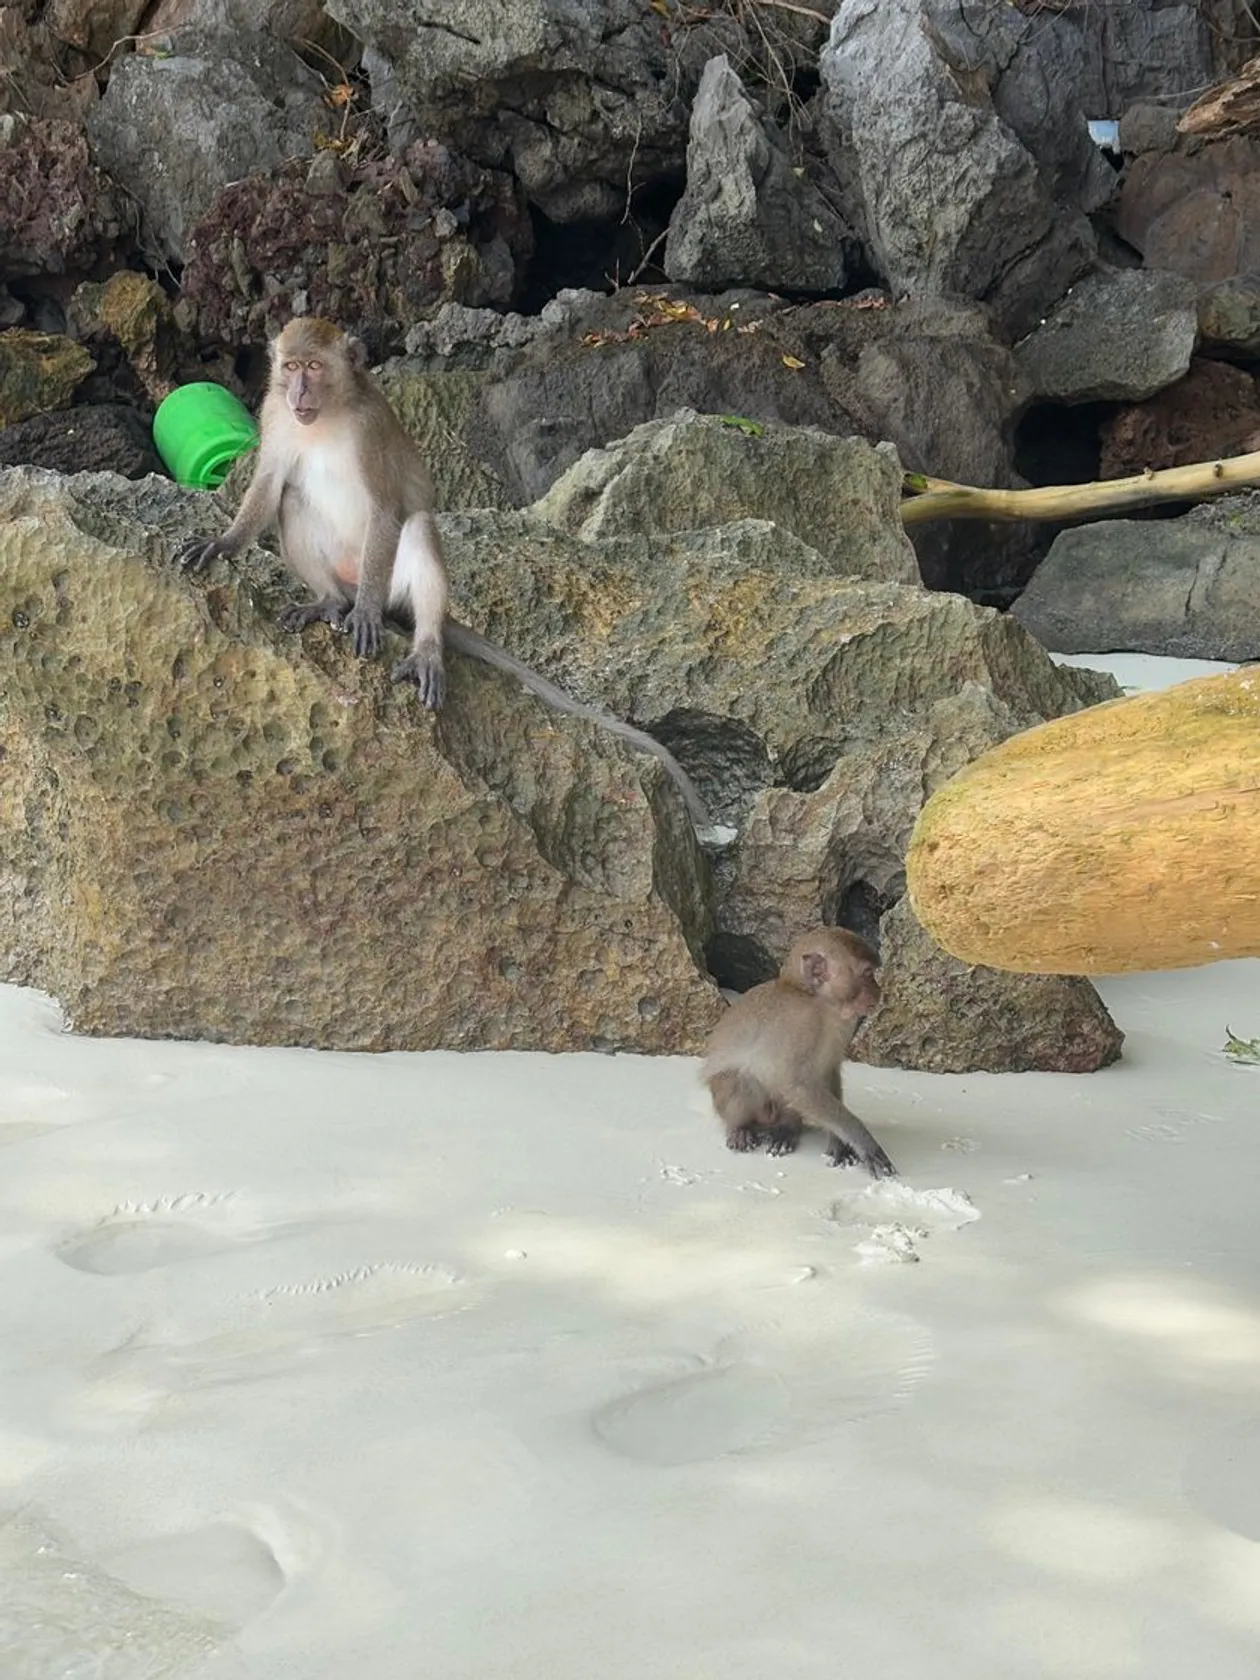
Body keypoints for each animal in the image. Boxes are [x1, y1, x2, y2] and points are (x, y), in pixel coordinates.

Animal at [174, 317, 712, 832]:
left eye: (315, 367)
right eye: (289, 367)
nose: (299, 393)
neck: (325, 418)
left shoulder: (369, 429)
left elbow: (386, 509)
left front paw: (367, 614)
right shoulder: (274, 415)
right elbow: (269, 485)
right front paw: (223, 543)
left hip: (388, 578)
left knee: (415, 526)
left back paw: (420, 641)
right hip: (339, 569)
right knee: (292, 499)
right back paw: (328, 601)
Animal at [702, 926, 897, 1178]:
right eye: (867, 974)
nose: (878, 990)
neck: (819, 1003)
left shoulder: (845, 1022)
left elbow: (828, 1072)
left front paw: (839, 1142)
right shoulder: (799, 1022)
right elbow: (796, 1084)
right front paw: (862, 1141)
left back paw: (787, 1128)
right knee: (742, 1079)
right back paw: (740, 1128)